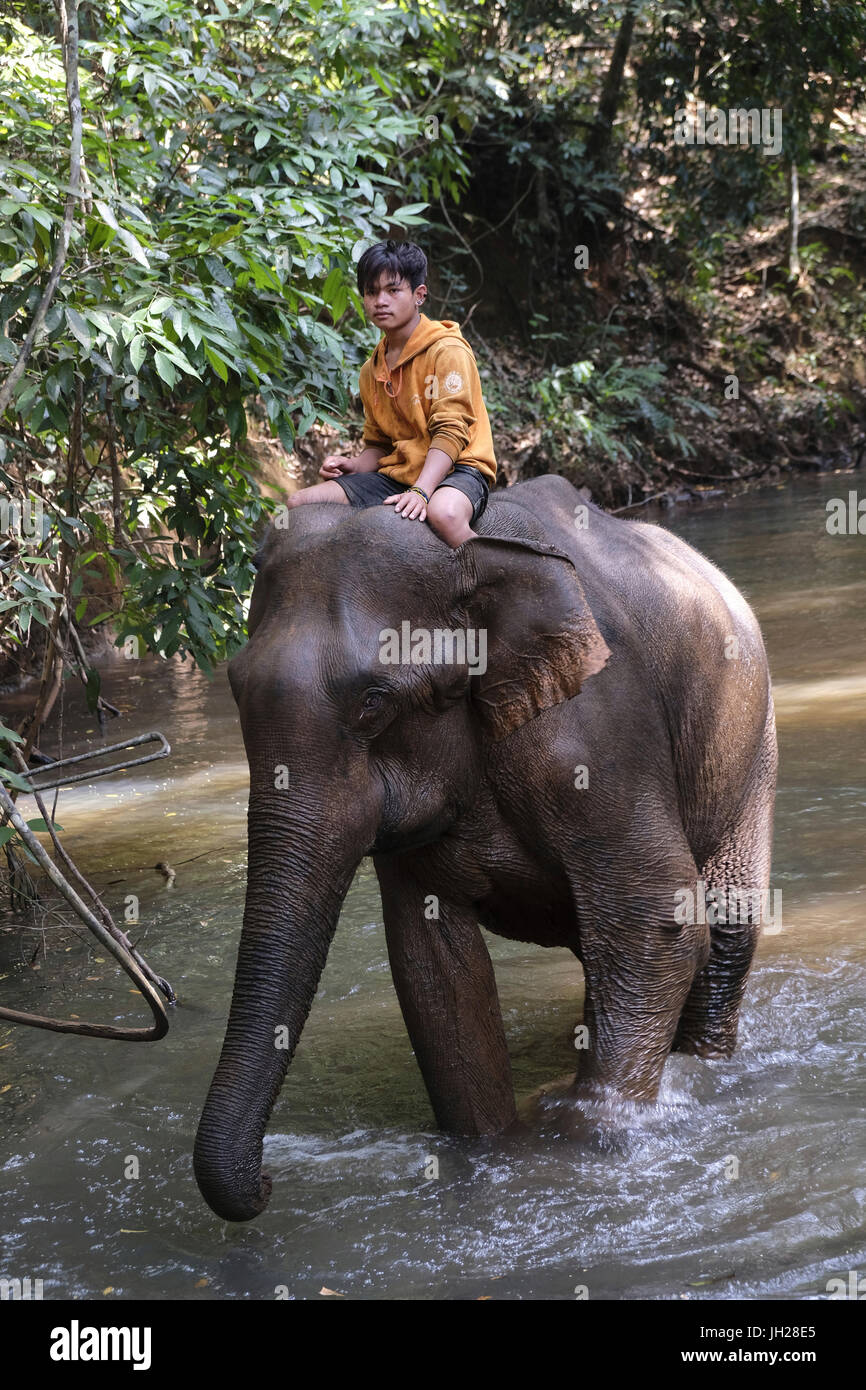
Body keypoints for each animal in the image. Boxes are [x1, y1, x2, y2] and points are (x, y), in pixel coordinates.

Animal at [194, 475, 778, 1217]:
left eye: (373, 703)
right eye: (236, 689)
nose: (268, 1182)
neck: (470, 560)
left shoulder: (602, 731)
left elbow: (653, 921)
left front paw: (584, 1141)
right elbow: (434, 959)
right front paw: (490, 1156)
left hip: (749, 745)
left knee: (725, 925)